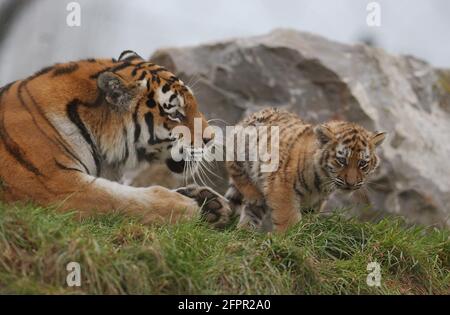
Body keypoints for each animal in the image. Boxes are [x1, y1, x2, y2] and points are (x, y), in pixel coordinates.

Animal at [0, 50, 232, 228]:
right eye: (175, 114)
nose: (211, 138)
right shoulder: (52, 184)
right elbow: (120, 198)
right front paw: (188, 206)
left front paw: (211, 202)